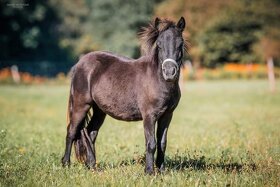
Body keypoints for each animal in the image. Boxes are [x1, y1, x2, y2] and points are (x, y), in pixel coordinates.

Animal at [62, 16, 187, 175]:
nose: (169, 72)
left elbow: (162, 143)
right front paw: (149, 171)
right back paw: (66, 164)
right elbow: (151, 143)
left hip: (99, 110)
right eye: (159, 45)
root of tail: (79, 63)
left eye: (180, 43)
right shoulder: (149, 116)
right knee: (71, 132)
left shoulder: (167, 115)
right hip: (81, 105)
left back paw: (92, 165)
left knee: (89, 132)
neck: (158, 80)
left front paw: (161, 170)